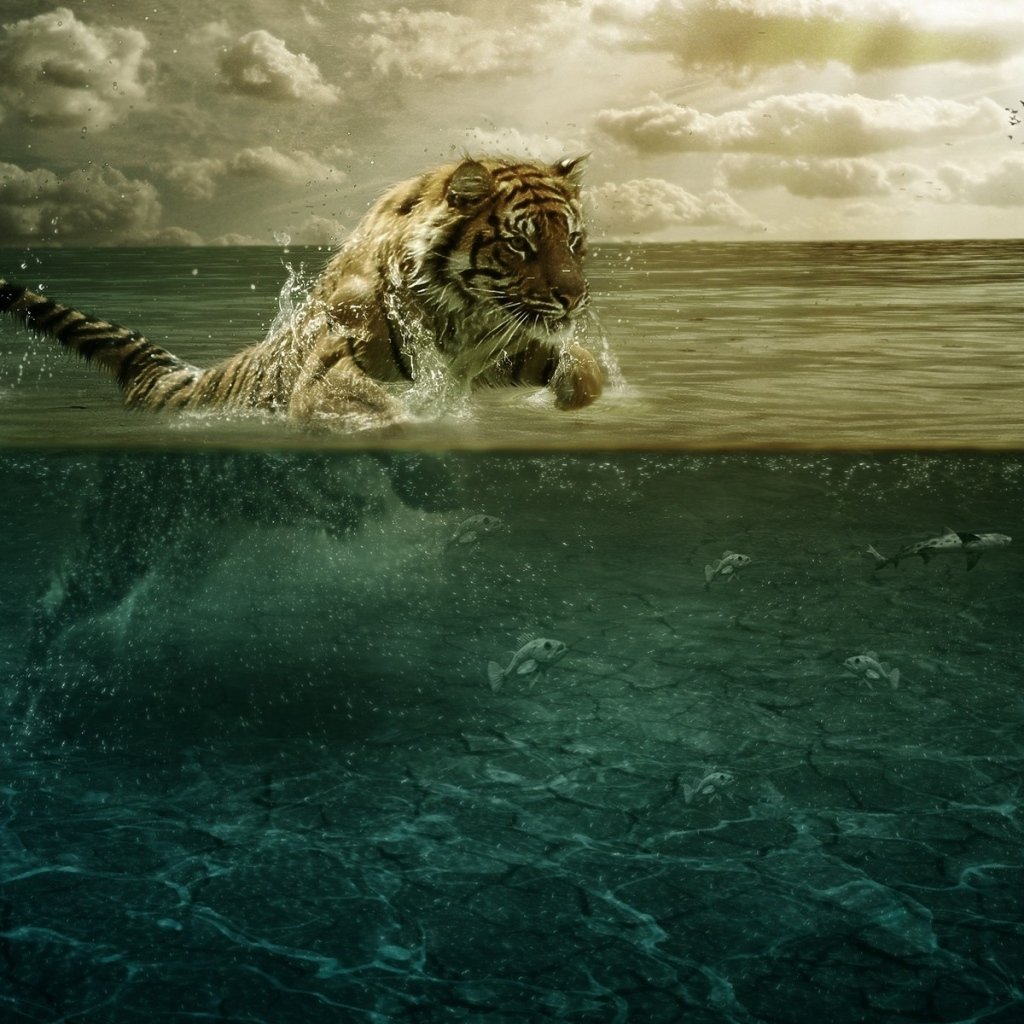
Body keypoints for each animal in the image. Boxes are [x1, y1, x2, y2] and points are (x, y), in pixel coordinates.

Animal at [0, 155, 604, 428]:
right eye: (520, 245)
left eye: (573, 240)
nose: (574, 298)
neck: (463, 321)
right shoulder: (330, 366)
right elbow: (374, 407)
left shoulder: (509, 347)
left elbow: (583, 368)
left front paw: (573, 403)